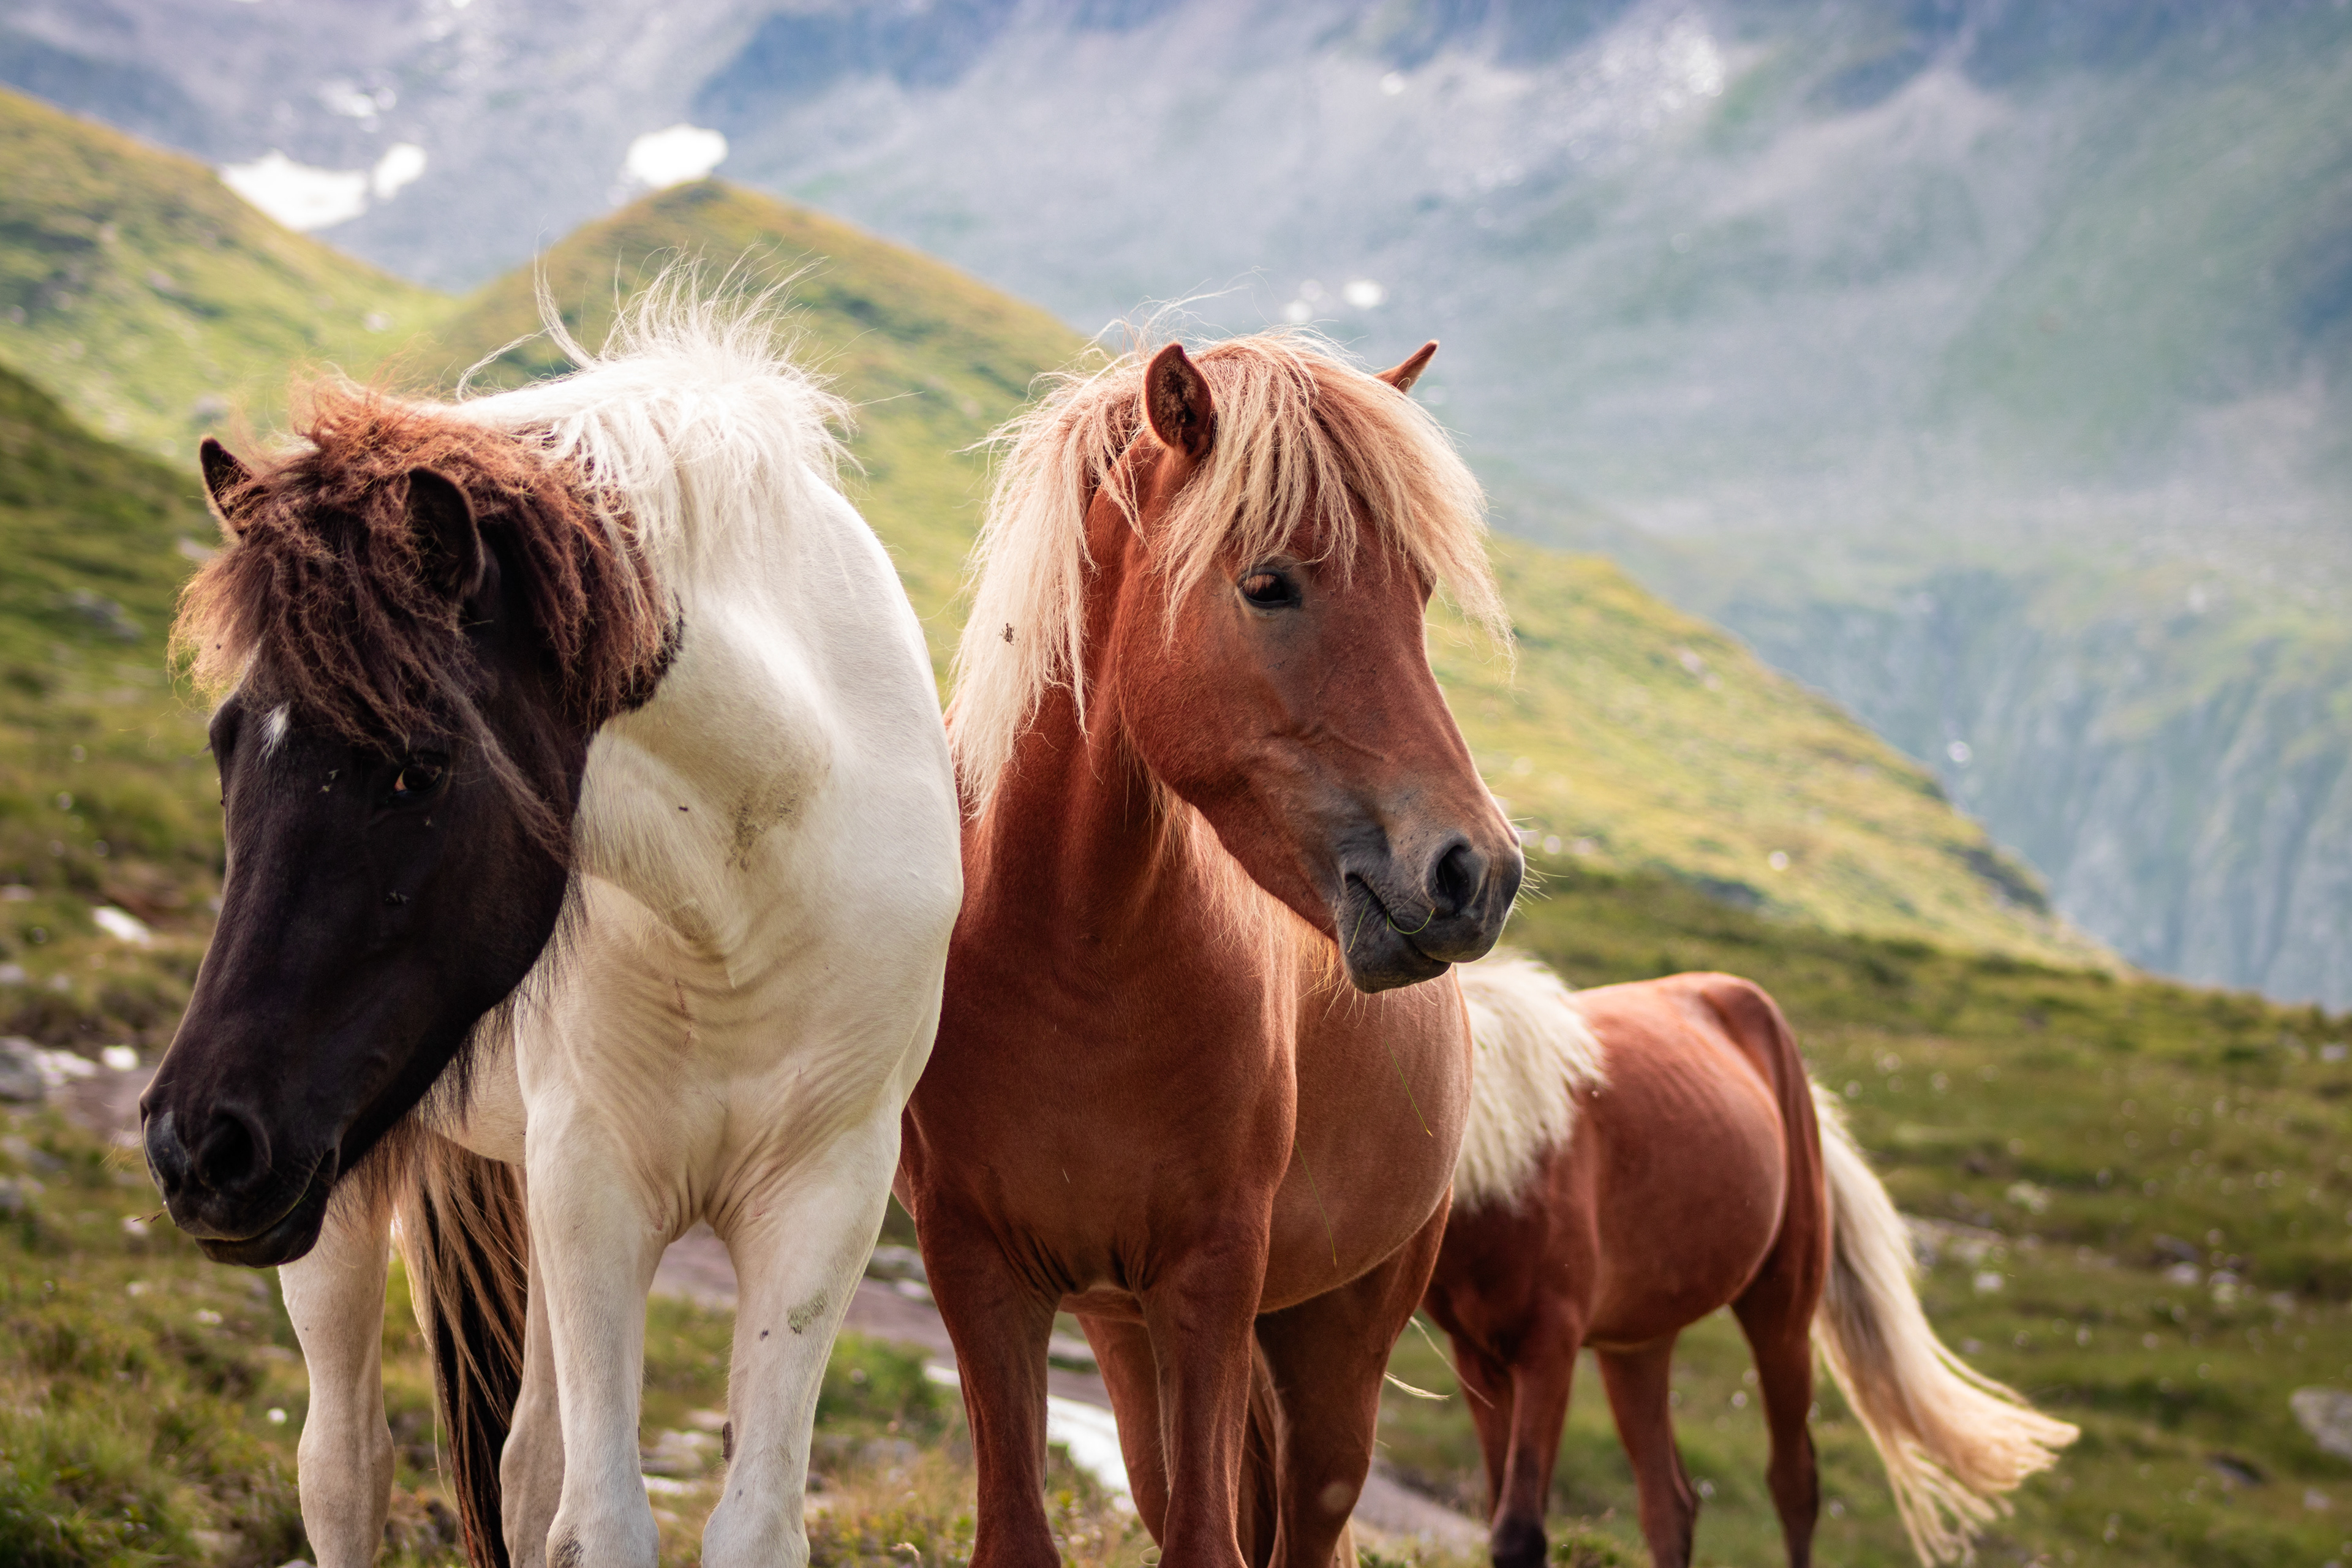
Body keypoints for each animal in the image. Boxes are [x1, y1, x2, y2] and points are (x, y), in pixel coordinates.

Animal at [139, 286, 964, 1568]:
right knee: (346, 1469)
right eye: (228, 745)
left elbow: (736, 1523)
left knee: (521, 1471)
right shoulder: (596, 1190)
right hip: (346, 1201)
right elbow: (602, 1523)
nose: (196, 1149)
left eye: (418, 768)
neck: (750, 882)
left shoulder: (820, 1201)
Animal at [898, 330, 1522, 1568]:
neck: (1068, 953)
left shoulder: (1213, 1278)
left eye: (1419, 593)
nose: (1474, 873)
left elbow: (1208, 1543)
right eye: (1268, 583)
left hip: (1330, 1341)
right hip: (1128, 1336)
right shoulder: (978, 1270)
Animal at [1425, 953, 2078, 1568]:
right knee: (1669, 1505)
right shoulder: (1477, 1359)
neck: (1507, 1160)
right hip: (1636, 1346)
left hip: (1781, 1316)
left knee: (1794, 1485)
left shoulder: (1549, 1350)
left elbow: (1518, 1534)